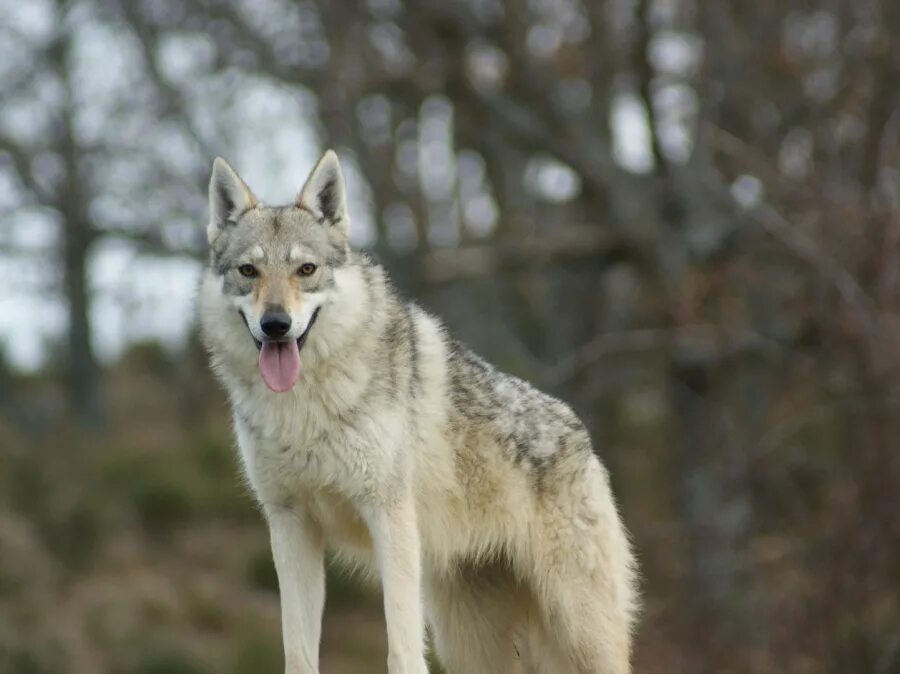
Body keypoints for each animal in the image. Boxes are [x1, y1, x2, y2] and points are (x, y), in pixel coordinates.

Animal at [200, 150, 636, 668]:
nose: (276, 324)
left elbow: (402, 649)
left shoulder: (389, 516)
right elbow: (299, 652)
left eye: (306, 270)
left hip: (578, 632)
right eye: (249, 272)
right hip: (469, 643)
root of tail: (581, 436)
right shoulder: (289, 524)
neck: (303, 409)